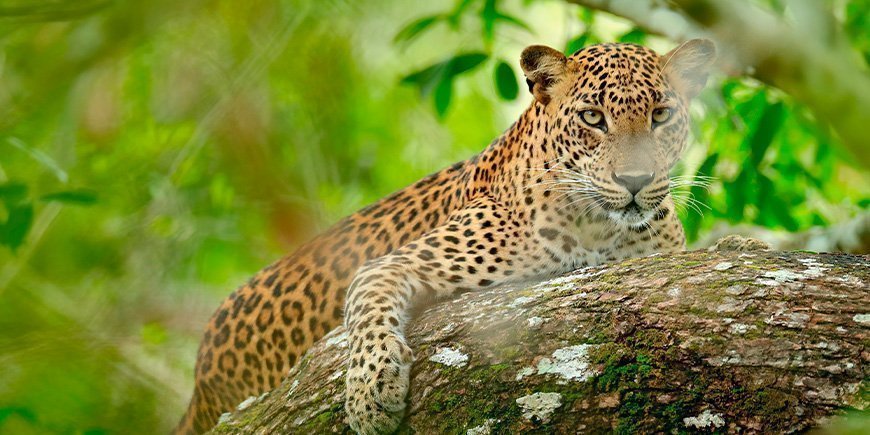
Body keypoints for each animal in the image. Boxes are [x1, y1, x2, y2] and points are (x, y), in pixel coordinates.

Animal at [175, 39, 716, 434]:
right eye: (592, 118)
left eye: (661, 115)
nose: (635, 181)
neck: (602, 228)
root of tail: (201, 381)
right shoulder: (395, 263)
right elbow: (368, 304)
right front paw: (370, 391)